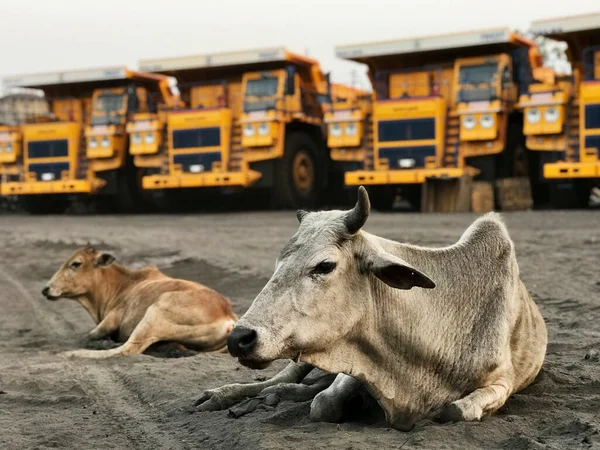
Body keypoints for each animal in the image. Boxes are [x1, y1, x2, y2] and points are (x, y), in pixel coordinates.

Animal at [42, 246, 237, 358]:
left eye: (76, 264)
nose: (46, 289)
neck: (122, 285)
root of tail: (228, 315)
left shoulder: (109, 321)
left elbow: (85, 337)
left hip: (156, 311)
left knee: (127, 350)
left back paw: (73, 354)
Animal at [198, 187, 548, 432]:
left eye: (325, 266)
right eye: (278, 263)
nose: (239, 338)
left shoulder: (501, 382)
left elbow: (454, 410)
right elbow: (323, 403)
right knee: (280, 379)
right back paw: (225, 395)